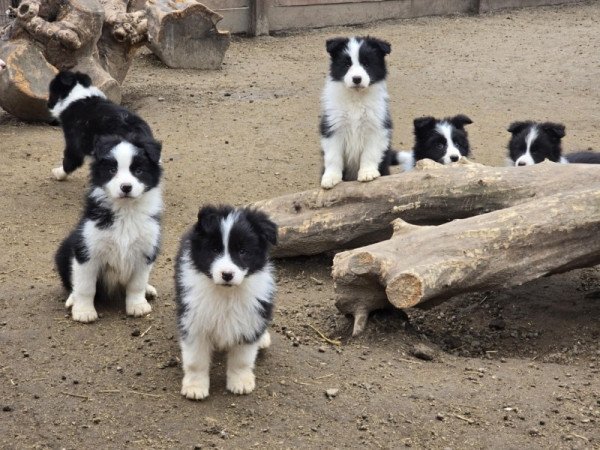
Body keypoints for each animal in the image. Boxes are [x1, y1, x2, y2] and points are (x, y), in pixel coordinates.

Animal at [53, 134, 161, 324]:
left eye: (138, 171)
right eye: (112, 170)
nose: (126, 187)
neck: (126, 212)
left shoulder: (146, 250)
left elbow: (137, 284)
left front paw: (138, 305)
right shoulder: (87, 251)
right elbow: (86, 286)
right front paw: (84, 311)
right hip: (64, 250)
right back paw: (73, 299)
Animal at [173, 206, 276, 400]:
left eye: (243, 251)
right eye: (214, 249)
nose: (227, 274)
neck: (226, 293)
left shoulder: (248, 320)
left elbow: (242, 359)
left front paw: (240, 382)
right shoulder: (194, 322)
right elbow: (196, 361)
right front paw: (195, 387)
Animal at [318, 36, 398, 189]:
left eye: (366, 64)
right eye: (347, 64)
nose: (356, 79)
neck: (356, 98)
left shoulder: (376, 128)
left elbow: (369, 153)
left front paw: (367, 173)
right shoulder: (333, 127)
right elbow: (333, 156)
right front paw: (330, 178)